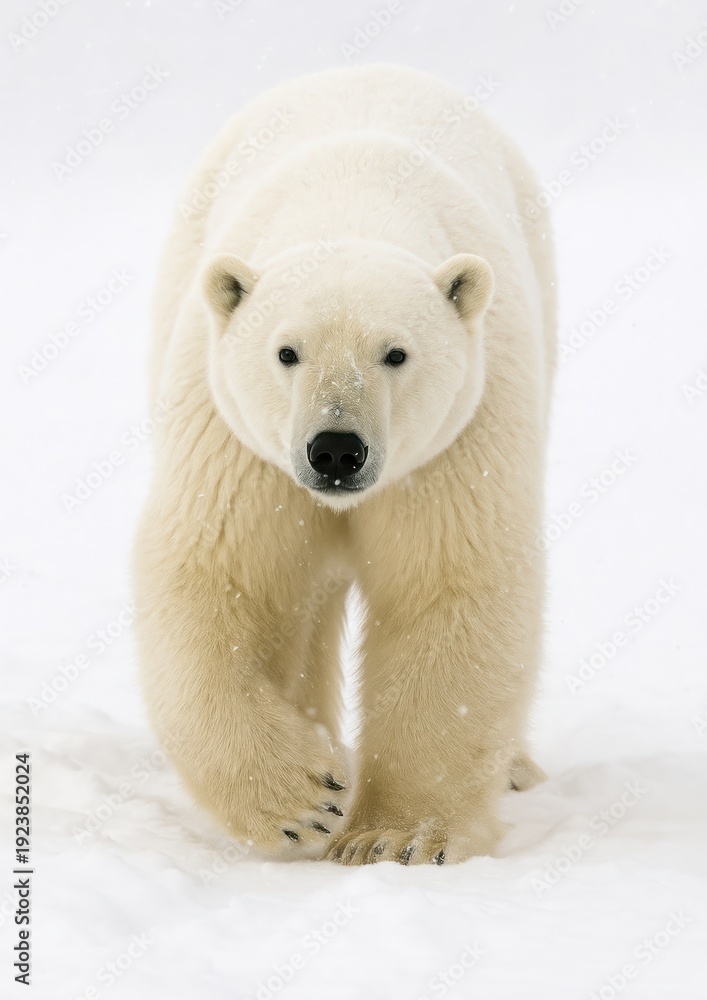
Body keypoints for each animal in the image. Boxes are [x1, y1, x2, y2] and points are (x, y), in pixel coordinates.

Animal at [133, 63, 556, 866]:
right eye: (285, 352)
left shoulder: (457, 441)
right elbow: (223, 579)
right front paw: (302, 797)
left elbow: (446, 589)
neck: (354, 202)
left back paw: (516, 765)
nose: (335, 449)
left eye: (396, 353)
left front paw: (392, 836)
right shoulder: (237, 442)